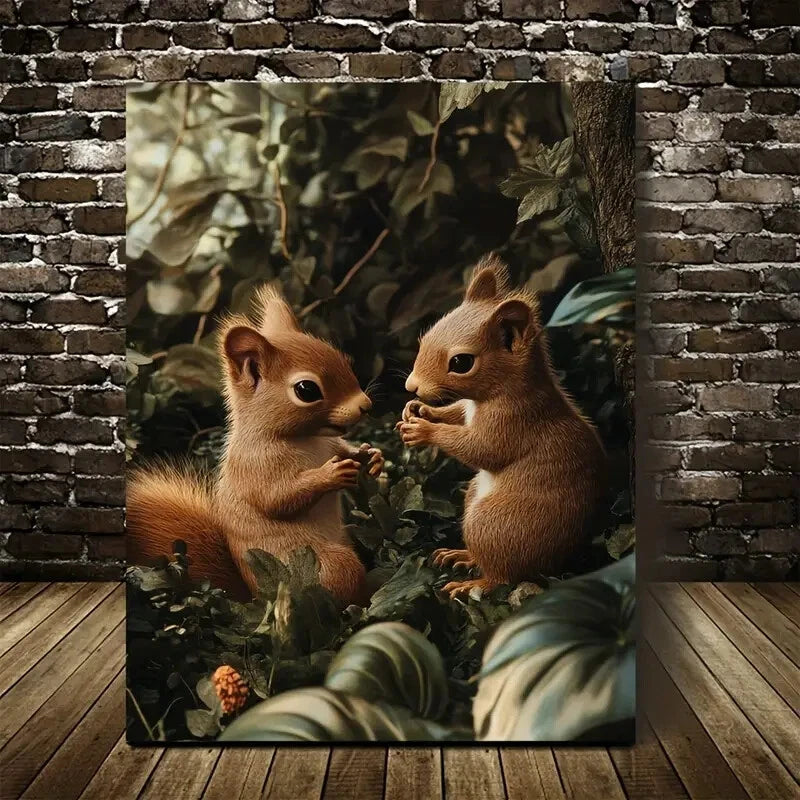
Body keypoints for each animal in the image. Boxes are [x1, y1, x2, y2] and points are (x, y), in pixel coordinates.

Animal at [127, 285, 383, 607]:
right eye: (307, 390)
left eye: (344, 359)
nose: (366, 405)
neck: (305, 438)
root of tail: (255, 595)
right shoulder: (255, 465)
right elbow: (278, 497)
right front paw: (331, 475)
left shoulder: (329, 443)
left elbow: (344, 449)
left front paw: (372, 457)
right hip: (328, 568)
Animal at [397, 254, 606, 599]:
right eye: (425, 338)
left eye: (461, 363)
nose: (411, 387)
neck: (498, 392)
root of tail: (554, 563)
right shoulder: (467, 409)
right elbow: (456, 414)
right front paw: (420, 410)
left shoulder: (514, 421)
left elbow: (483, 449)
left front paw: (424, 430)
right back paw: (462, 555)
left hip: (494, 525)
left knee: (502, 576)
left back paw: (472, 582)